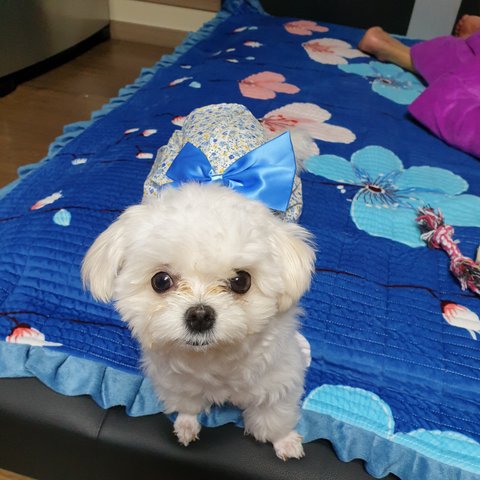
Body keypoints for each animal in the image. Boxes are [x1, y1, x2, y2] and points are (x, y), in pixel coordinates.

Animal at [82, 104, 315, 460]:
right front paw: (187, 424)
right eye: (161, 281)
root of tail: (224, 106)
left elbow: (274, 415)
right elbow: (188, 403)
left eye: (241, 281)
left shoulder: (280, 374)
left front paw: (285, 441)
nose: (200, 315)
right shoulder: (173, 379)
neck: (214, 359)